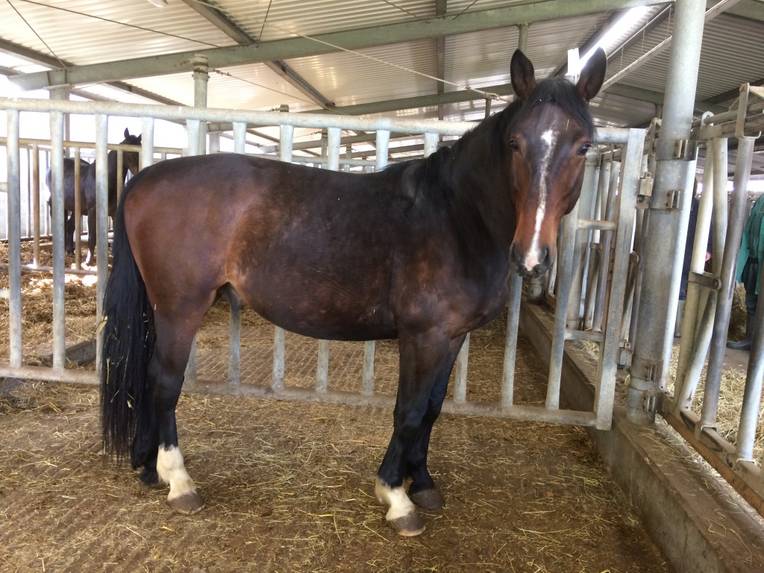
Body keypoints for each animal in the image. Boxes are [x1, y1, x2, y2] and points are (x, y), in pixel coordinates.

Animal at [45, 128, 141, 263]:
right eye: (129, 150)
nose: (139, 171)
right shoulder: (92, 211)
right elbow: (92, 237)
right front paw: (88, 261)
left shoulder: (113, 213)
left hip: (76, 208)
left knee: (69, 226)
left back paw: (70, 251)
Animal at [100, 49, 606, 536]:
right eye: (514, 143)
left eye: (584, 146)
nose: (532, 256)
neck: (456, 217)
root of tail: (143, 178)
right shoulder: (423, 336)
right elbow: (409, 411)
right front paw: (396, 497)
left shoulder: (452, 337)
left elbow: (433, 408)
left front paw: (423, 482)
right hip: (181, 307)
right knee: (164, 381)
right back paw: (179, 480)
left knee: (148, 376)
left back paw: (147, 467)